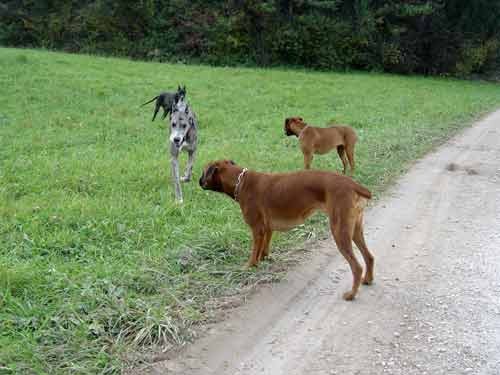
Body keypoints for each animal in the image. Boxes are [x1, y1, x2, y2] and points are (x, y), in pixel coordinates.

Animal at [199, 160, 376, 302]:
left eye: (203, 171)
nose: (198, 181)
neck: (240, 181)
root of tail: (353, 184)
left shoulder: (257, 230)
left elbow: (254, 253)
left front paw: (249, 267)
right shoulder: (267, 230)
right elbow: (263, 250)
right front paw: (264, 261)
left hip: (340, 232)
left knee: (357, 267)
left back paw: (351, 294)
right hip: (355, 231)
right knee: (369, 257)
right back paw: (368, 280)